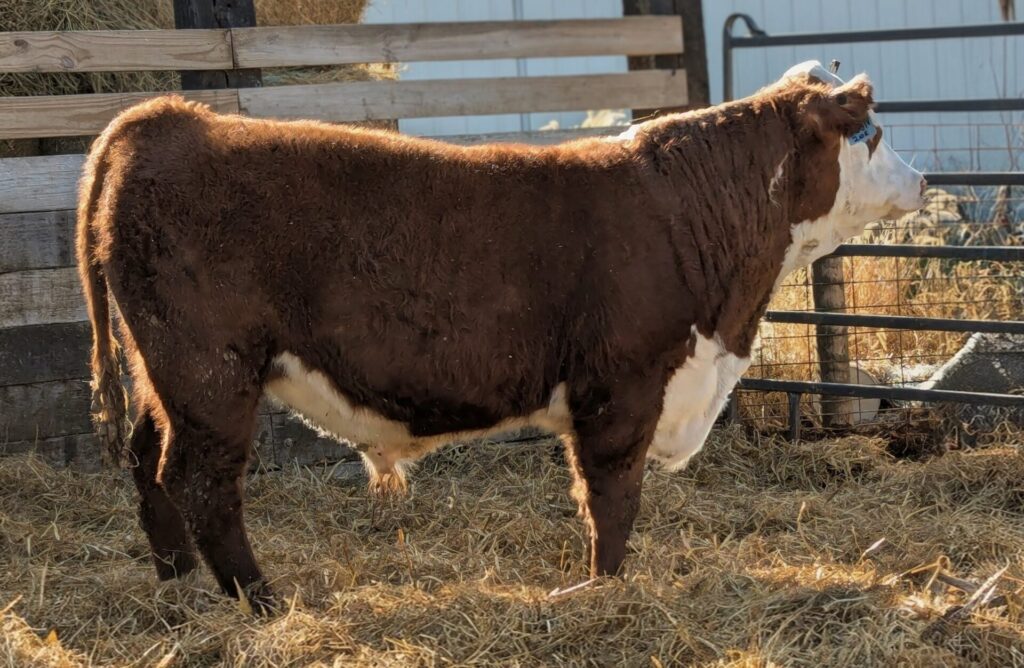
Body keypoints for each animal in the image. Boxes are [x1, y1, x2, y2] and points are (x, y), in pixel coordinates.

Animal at [76, 60, 925, 611]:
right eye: (873, 133)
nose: (923, 180)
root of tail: (173, 120)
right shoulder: (620, 385)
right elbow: (612, 496)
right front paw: (604, 589)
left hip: (162, 373)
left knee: (148, 463)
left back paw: (179, 585)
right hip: (211, 373)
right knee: (202, 482)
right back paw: (260, 602)